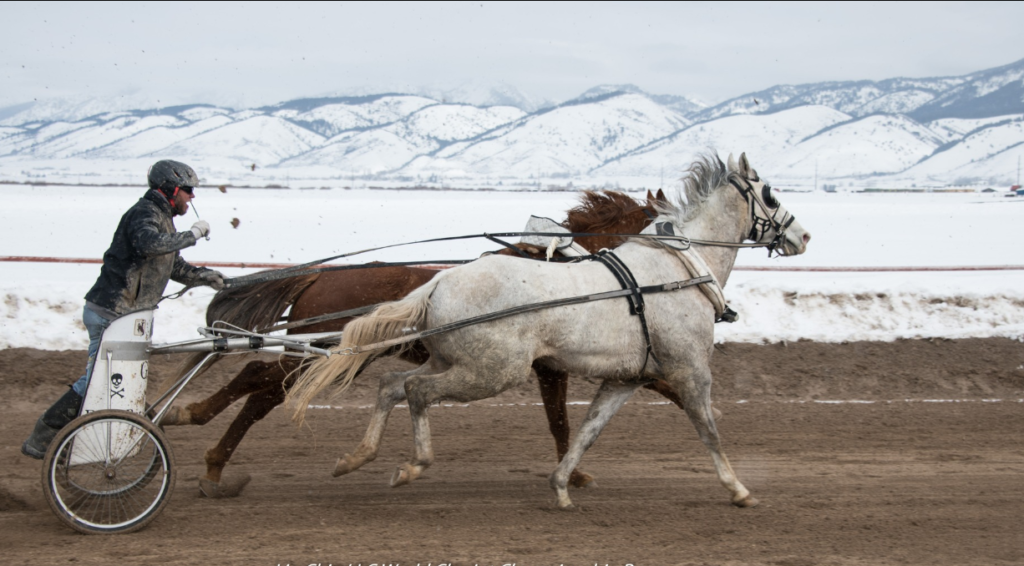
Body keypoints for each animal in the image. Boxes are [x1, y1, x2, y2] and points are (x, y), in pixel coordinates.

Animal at [161, 189, 685, 497]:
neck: (565, 269)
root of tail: (318, 276)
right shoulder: (553, 366)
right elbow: (562, 420)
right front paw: (572, 473)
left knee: (262, 385)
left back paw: (205, 447)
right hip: (326, 352)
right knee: (262, 383)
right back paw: (199, 437)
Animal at [287, 152, 811, 509]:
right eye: (770, 193)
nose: (803, 235)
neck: (675, 270)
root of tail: (438, 282)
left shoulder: (626, 378)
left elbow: (586, 432)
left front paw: (562, 485)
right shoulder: (689, 371)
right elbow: (708, 429)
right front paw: (738, 489)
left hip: (452, 360)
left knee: (392, 385)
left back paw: (357, 457)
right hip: (491, 372)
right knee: (415, 391)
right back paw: (411, 465)